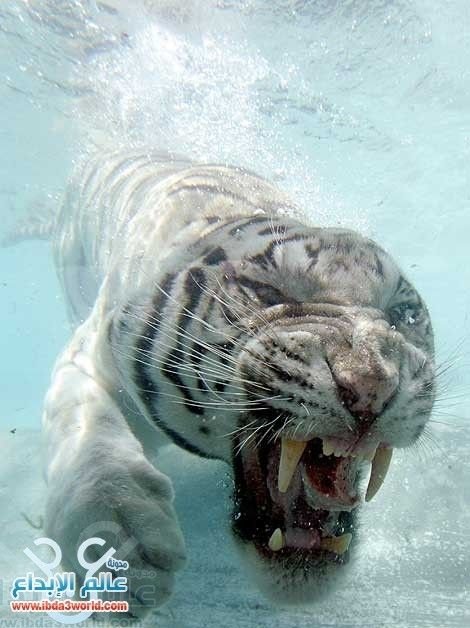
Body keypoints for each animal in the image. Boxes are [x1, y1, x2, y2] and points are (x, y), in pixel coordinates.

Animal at [27, 148, 436, 620]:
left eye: (403, 314)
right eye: (268, 293)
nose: (372, 387)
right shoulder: (91, 352)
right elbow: (84, 433)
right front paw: (117, 541)